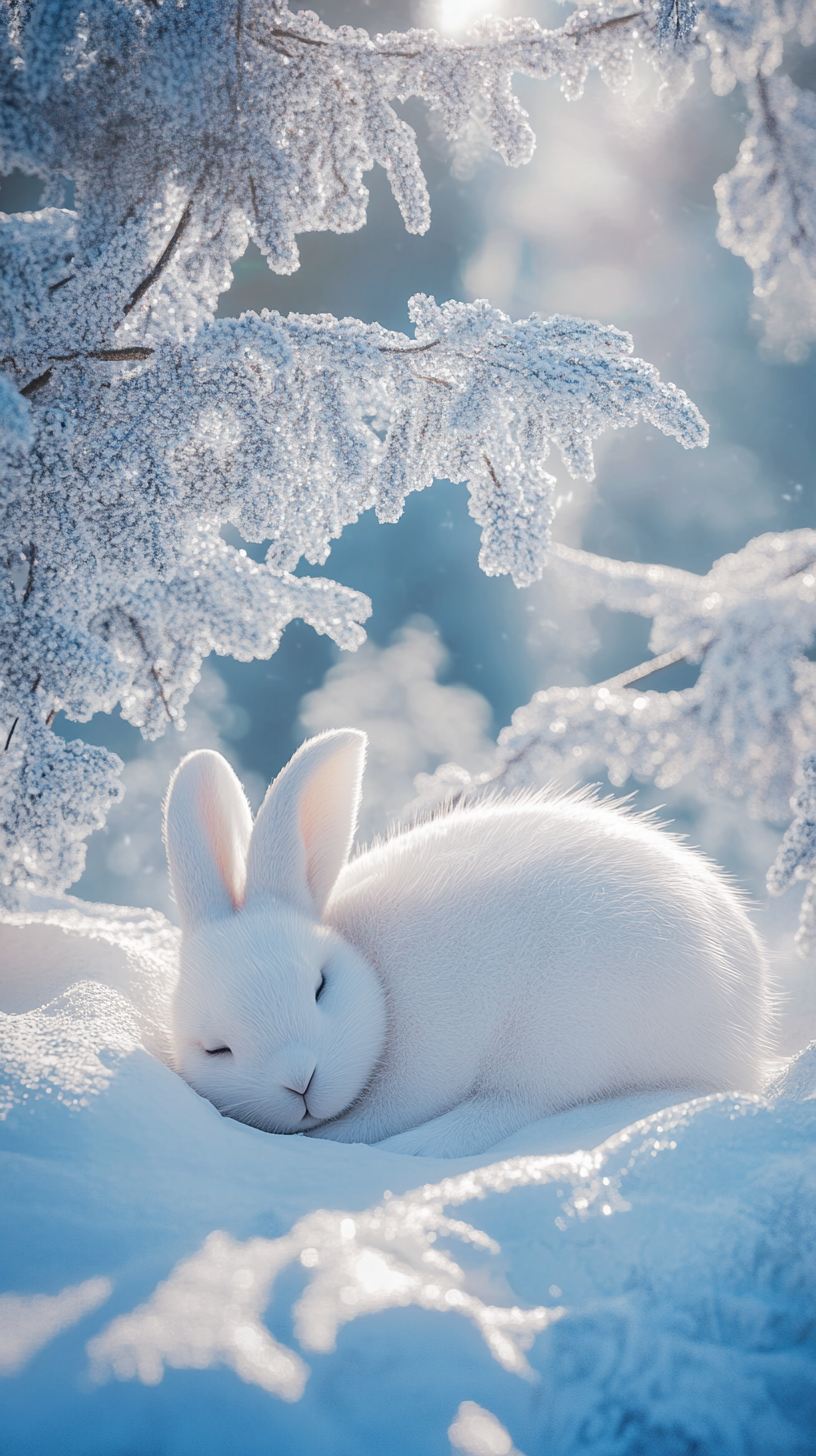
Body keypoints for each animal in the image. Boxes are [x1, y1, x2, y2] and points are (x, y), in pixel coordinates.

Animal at [166, 733, 769, 1153]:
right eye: (215, 1049)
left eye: (320, 985)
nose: (300, 1080)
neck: (381, 981)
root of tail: (747, 1031)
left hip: (563, 1032)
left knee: (512, 1105)